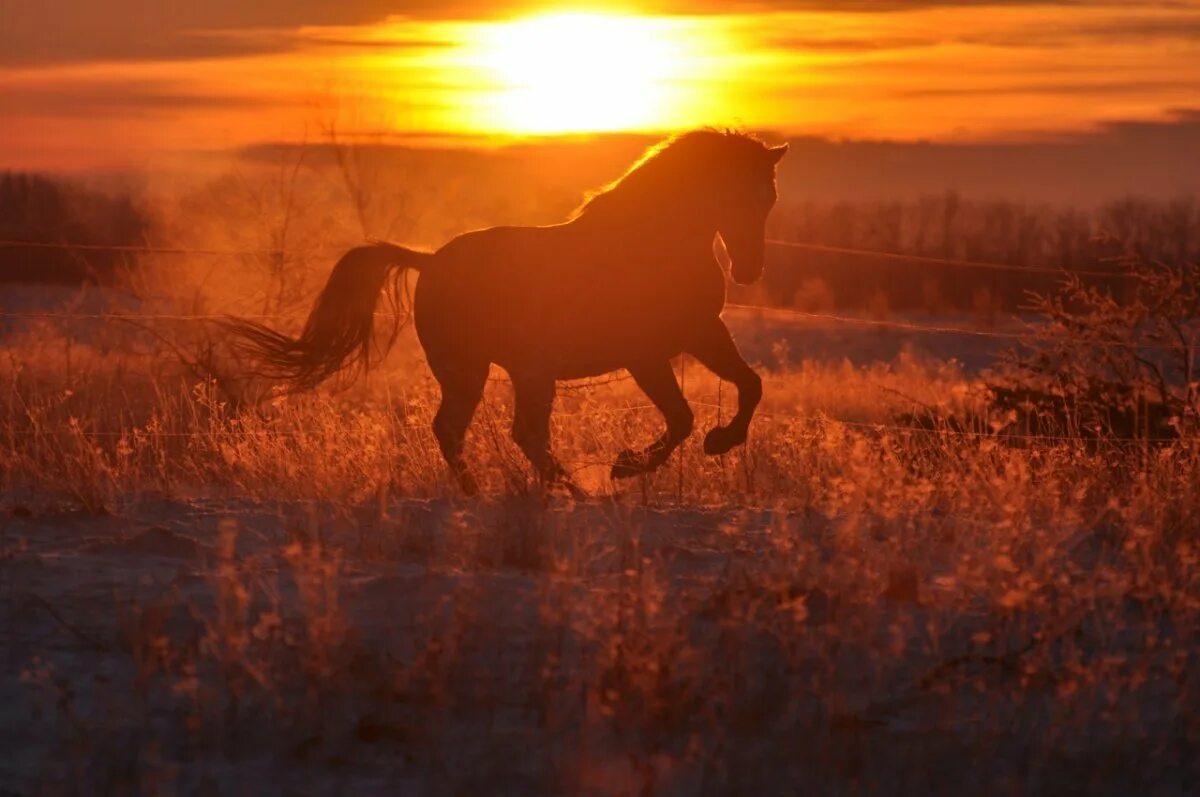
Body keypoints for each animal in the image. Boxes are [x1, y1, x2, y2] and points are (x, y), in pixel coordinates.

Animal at [226, 129, 787, 492]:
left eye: (769, 198)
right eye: (735, 192)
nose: (750, 270)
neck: (655, 244)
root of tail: (430, 261)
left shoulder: (702, 334)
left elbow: (749, 386)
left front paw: (721, 441)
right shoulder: (645, 355)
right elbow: (682, 418)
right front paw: (628, 466)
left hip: (519, 372)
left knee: (511, 434)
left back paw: (548, 490)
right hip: (478, 370)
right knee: (467, 431)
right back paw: (533, 492)